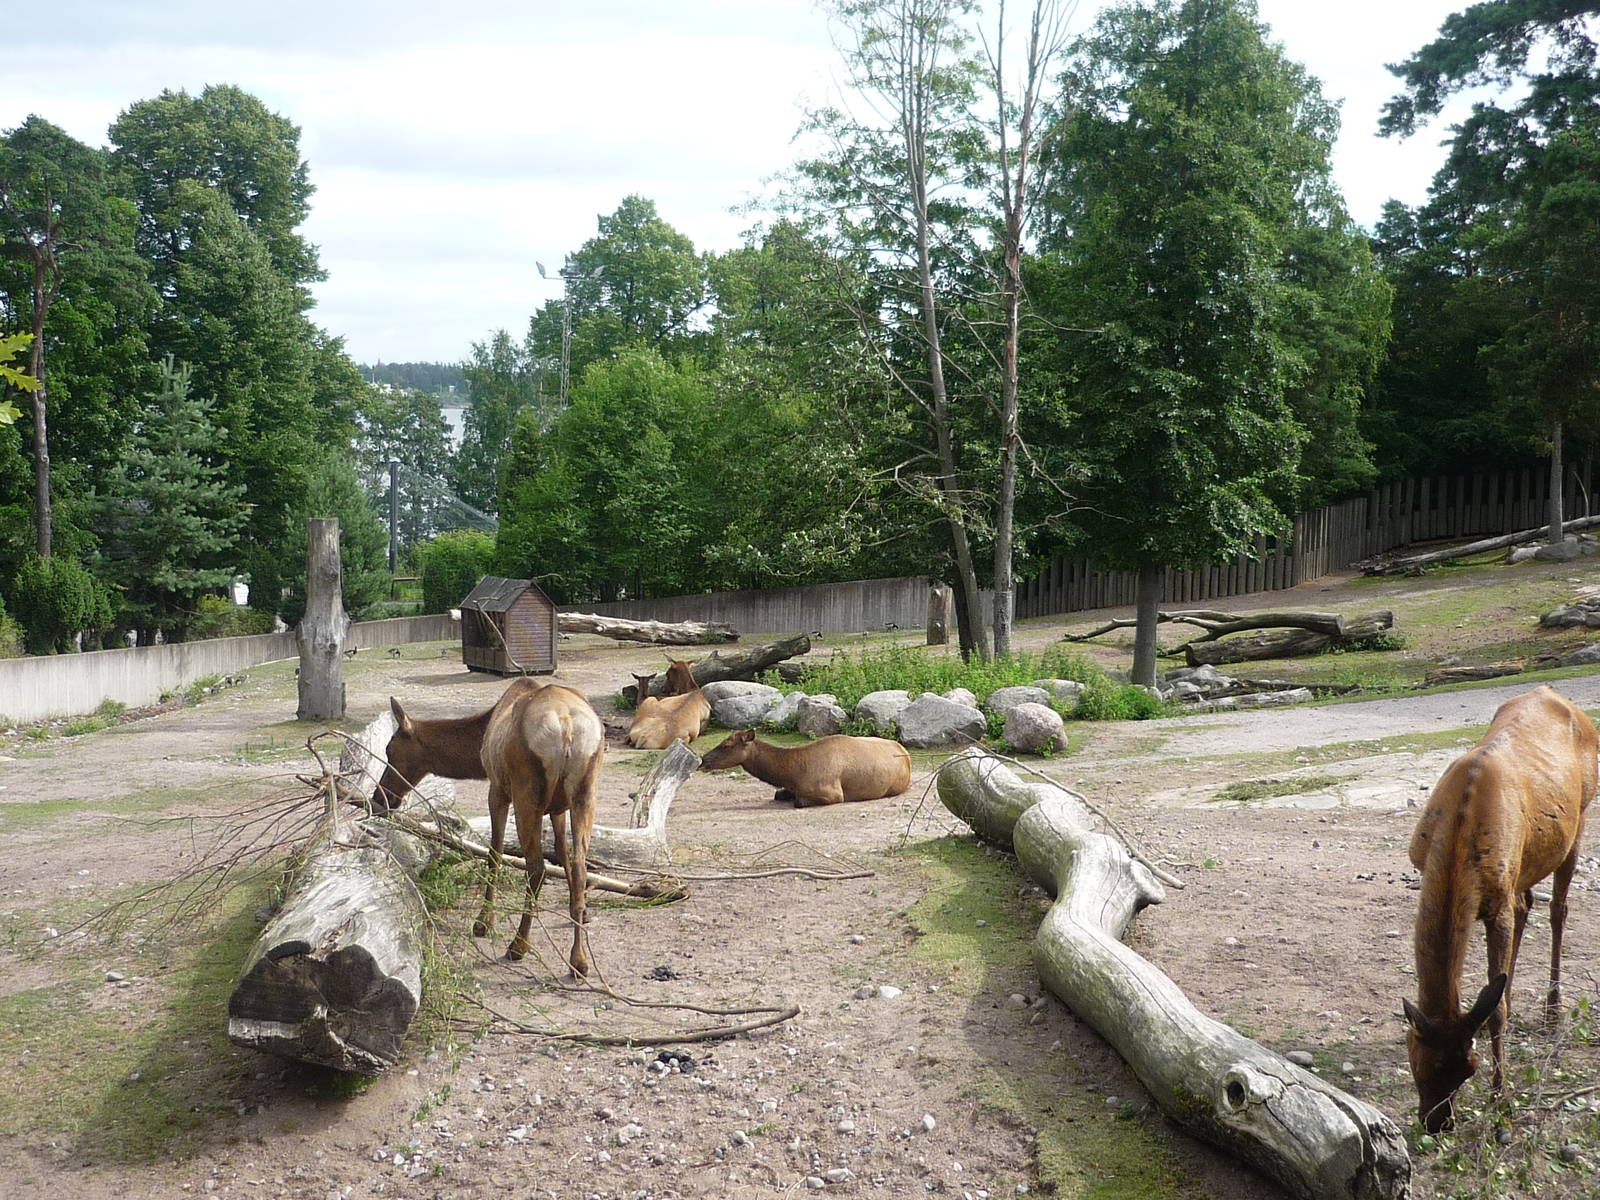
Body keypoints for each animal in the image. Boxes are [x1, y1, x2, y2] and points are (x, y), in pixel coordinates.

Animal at [375, 677, 605, 977]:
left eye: (390, 750)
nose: (379, 797)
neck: (478, 747)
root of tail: (566, 726)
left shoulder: (496, 789)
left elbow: (494, 854)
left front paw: (483, 922)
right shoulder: (558, 808)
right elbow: (563, 855)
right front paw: (583, 913)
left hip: (525, 793)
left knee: (536, 868)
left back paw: (518, 946)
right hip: (585, 794)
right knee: (580, 867)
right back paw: (578, 960)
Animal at [700, 729, 912, 806]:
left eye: (726, 745)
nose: (703, 759)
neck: (793, 773)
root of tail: (906, 753)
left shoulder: (835, 794)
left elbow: (799, 801)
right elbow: (778, 794)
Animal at [1402, 685, 1597, 1132]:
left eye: (1467, 1069)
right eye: (1422, 1063)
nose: (1438, 1124)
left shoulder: (1496, 904)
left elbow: (1497, 1014)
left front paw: (1501, 1101)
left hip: (1580, 818)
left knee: (1558, 909)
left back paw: (1552, 1010)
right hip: (1525, 863)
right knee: (1526, 906)